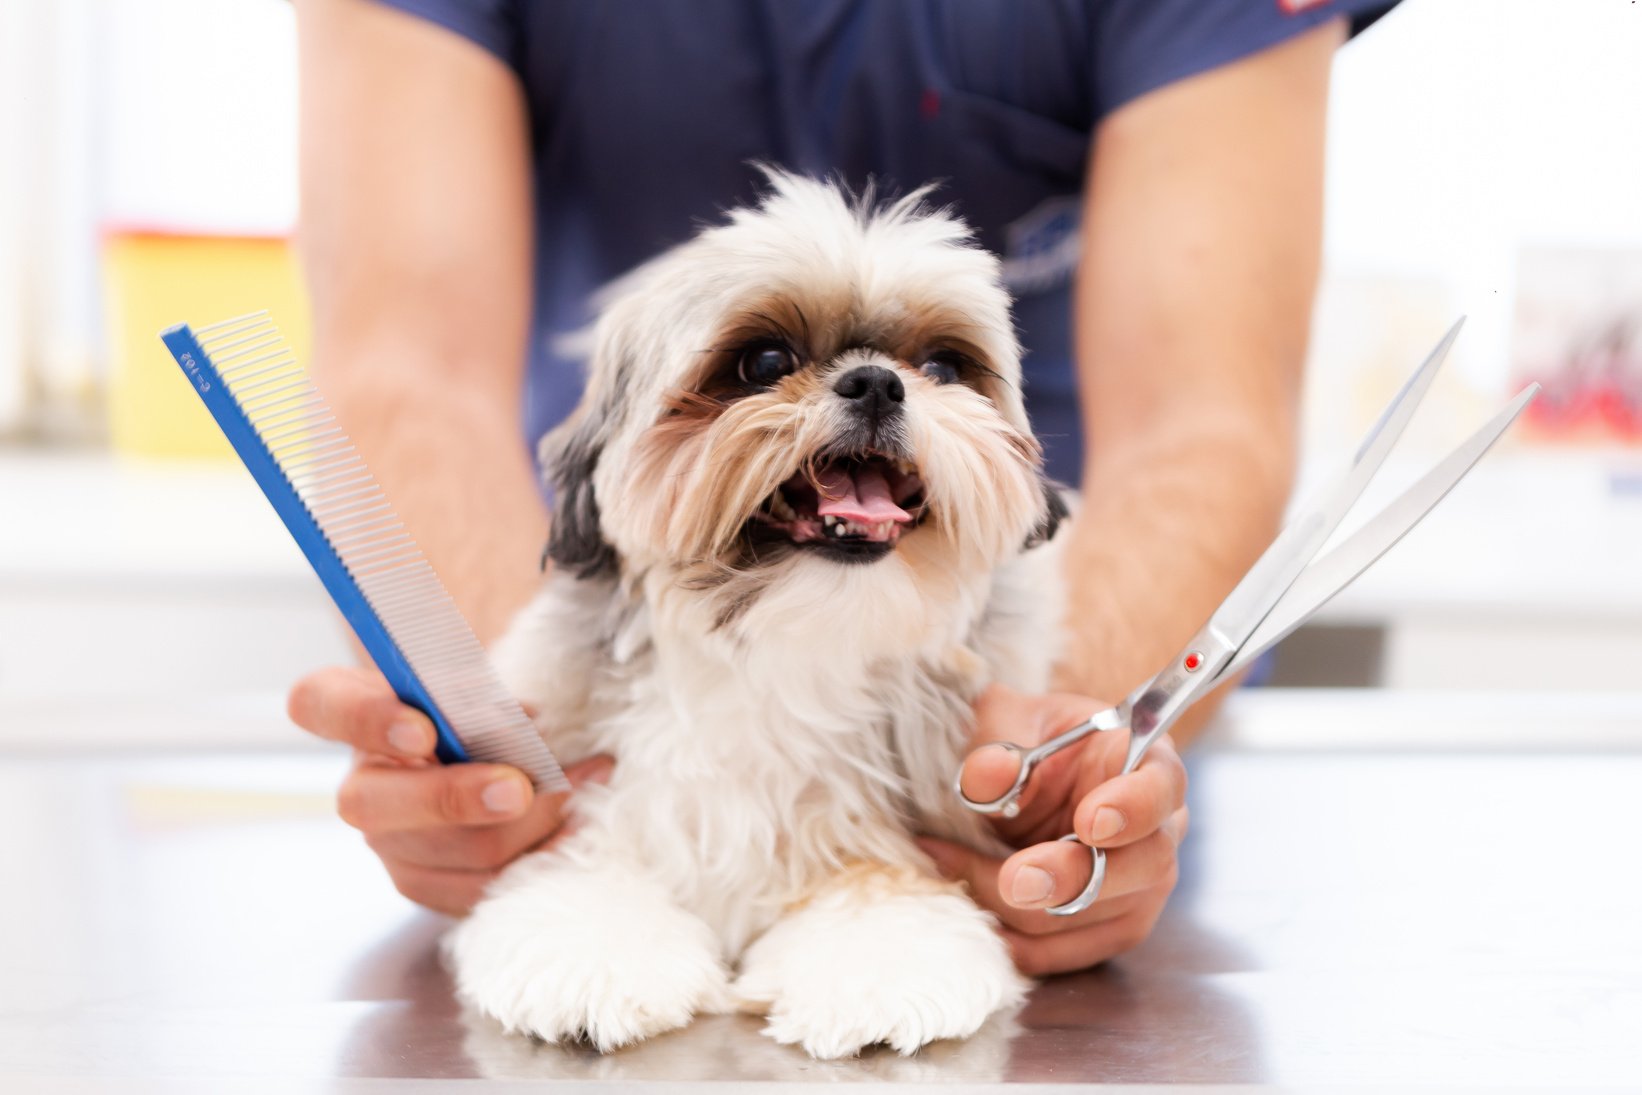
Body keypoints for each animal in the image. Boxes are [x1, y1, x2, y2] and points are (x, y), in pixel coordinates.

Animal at [449, 171, 1064, 1063]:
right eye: (765, 361)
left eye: (943, 365)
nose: (877, 381)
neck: (778, 644)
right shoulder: (588, 795)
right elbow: (584, 879)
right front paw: (594, 961)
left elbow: (883, 898)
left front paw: (878, 972)